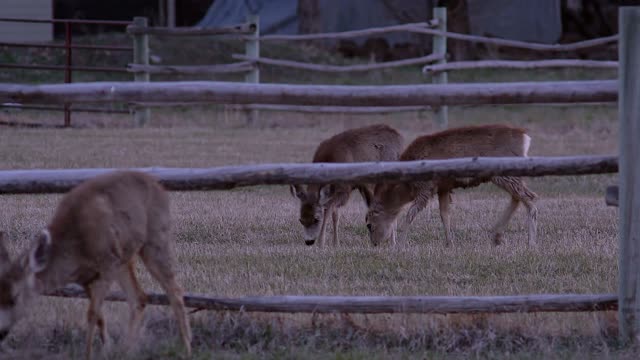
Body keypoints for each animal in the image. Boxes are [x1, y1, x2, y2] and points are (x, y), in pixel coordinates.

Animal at [0, 170, 191, 358]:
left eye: (15, 298)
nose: (1, 332)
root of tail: (158, 185)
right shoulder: (86, 278)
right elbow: (99, 316)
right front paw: (107, 348)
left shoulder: (107, 264)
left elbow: (91, 314)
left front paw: (89, 354)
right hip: (124, 258)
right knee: (139, 297)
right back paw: (126, 350)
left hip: (155, 238)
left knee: (174, 290)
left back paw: (186, 347)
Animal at [364, 124, 536, 248]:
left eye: (369, 225)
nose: (375, 244)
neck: (407, 186)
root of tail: (525, 139)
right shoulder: (443, 187)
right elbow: (444, 214)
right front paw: (449, 243)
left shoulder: (426, 187)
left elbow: (410, 214)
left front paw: (400, 245)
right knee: (518, 197)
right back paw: (497, 236)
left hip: (504, 173)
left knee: (529, 197)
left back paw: (530, 243)